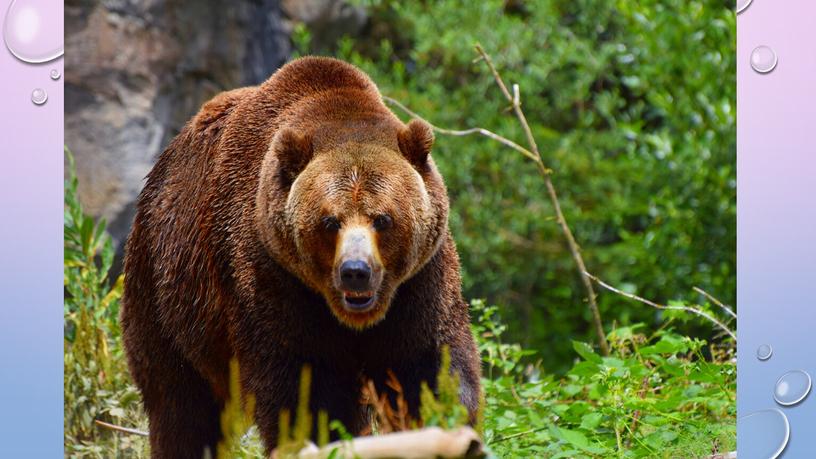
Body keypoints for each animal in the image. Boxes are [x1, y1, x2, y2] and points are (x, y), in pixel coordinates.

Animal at [120, 55, 478, 458]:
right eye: (330, 221)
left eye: (382, 218)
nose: (356, 271)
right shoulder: (274, 277)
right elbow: (306, 389)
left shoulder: (419, 283)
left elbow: (428, 368)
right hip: (169, 293)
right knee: (182, 406)